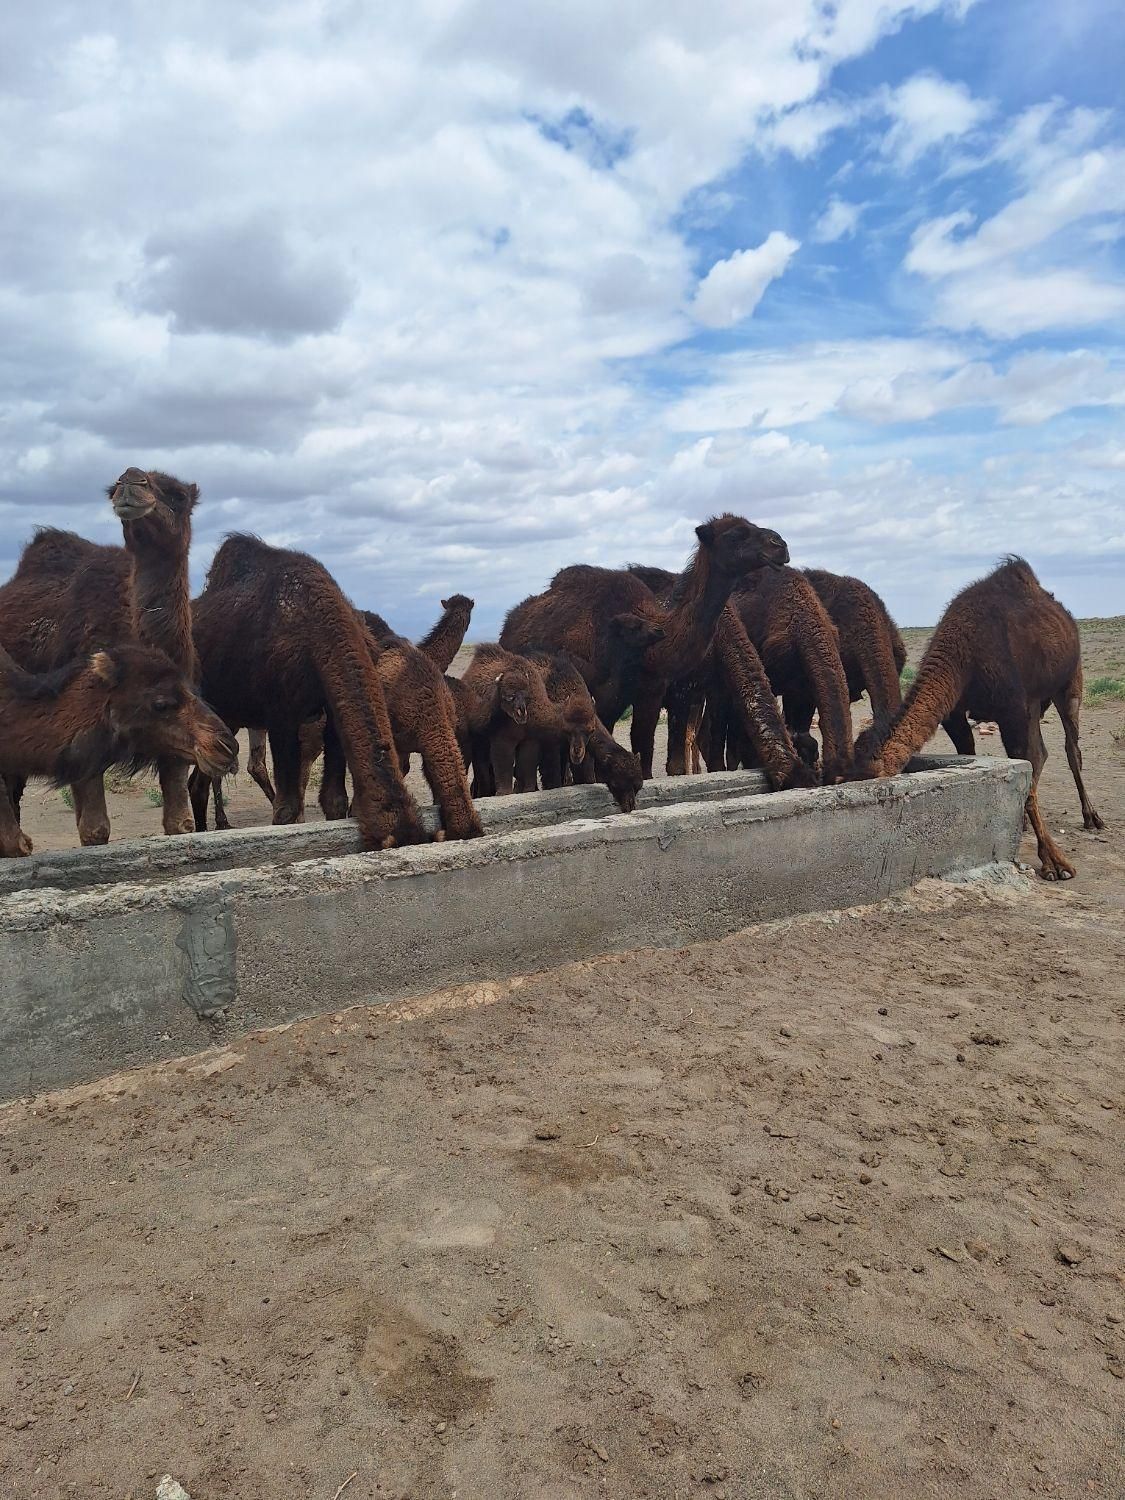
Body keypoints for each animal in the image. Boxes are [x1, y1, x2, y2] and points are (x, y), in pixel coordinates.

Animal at [501, 513, 792, 780]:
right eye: (734, 535)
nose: (780, 545)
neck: (651, 648)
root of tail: (507, 625)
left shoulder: (651, 690)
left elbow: (646, 751)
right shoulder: (605, 694)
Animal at [852, 558, 1104, 876]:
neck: (963, 654)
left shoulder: (1013, 710)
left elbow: (1026, 760)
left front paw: (1055, 862)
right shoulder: (956, 715)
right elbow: (973, 754)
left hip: (1069, 681)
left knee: (1071, 748)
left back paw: (1091, 817)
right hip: (1037, 703)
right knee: (1042, 753)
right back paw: (1025, 821)